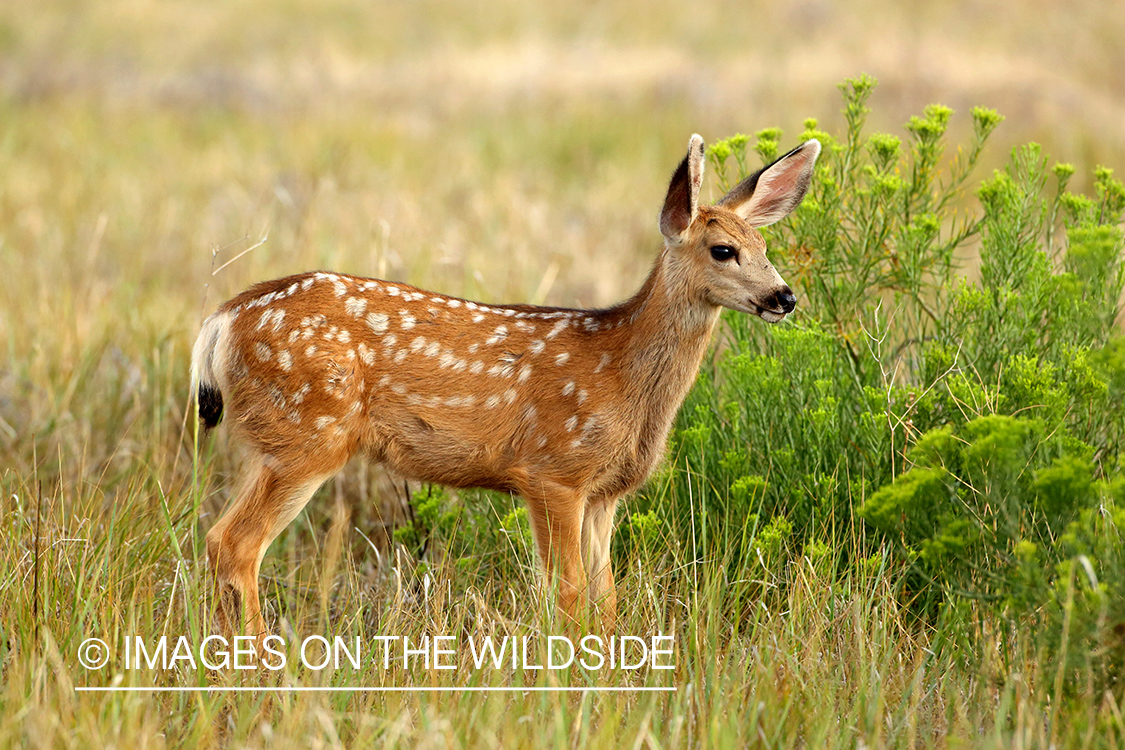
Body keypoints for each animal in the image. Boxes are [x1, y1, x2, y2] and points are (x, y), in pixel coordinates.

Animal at [193, 133, 823, 638]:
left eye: (765, 248)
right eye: (723, 250)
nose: (784, 297)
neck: (620, 372)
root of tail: (221, 321)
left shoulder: (605, 493)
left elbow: (607, 596)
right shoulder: (551, 470)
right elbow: (568, 592)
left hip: (275, 442)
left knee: (221, 540)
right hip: (307, 435)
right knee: (234, 543)